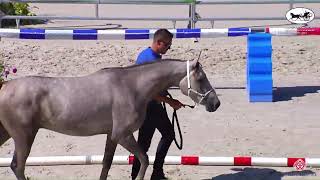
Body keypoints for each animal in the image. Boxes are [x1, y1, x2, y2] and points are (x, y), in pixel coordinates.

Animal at [0, 58, 220, 179]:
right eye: (201, 79)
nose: (215, 103)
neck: (131, 87)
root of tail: (4, 87)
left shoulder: (112, 137)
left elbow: (106, 164)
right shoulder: (123, 135)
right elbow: (144, 159)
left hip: (9, 134)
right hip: (24, 137)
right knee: (18, 167)